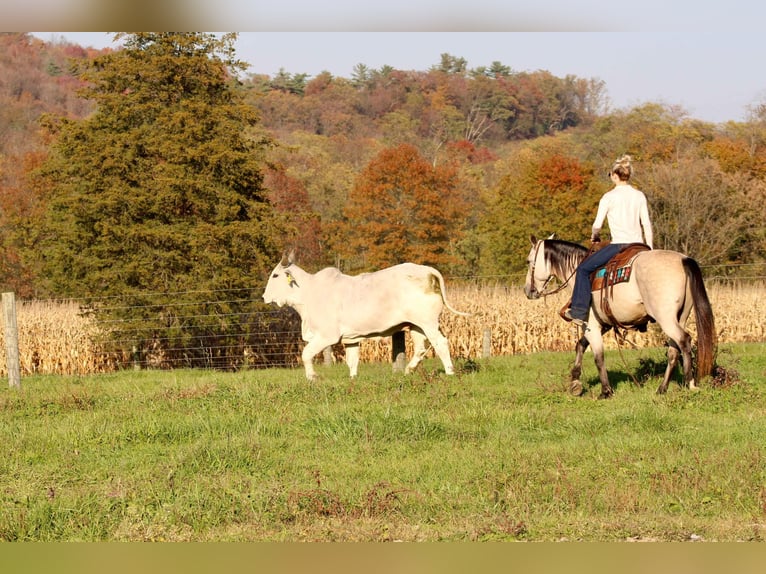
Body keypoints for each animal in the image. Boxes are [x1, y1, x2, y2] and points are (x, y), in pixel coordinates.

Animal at [262, 253, 468, 382]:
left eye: (275, 275)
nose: (264, 296)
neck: (308, 294)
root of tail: (428, 271)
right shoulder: (351, 339)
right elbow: (352, 360)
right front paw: (353, 379)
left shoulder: (326, 336)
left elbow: (306, 354)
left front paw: (312, 377)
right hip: (416, 325)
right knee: (420, 348)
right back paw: (408, 370)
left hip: (428, 323)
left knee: (441, 343)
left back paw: (449, 372)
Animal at [524, 236, 716, 398]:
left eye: (529, 261)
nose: (528, 290)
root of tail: (683, 260)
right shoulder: (601, 325)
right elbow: (580, 346)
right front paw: (575, 381)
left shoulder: (591, 325)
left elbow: (598, 357)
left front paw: (605, 391)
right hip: (680, 317)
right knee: (673, 350)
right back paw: (662, 388)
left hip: (666, 319)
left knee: (684, 340)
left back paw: (690, 383)